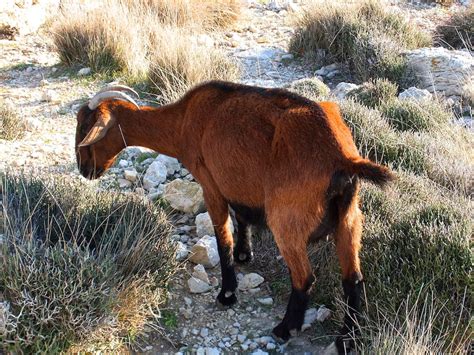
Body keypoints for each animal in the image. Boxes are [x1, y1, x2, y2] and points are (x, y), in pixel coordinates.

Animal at [74, 80, 392, 354]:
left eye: (86, 127)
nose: (84, 169)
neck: (183, 120)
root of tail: (342, 158)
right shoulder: (235, 184)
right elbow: (241, 217)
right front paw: (244, 254)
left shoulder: (210, 183)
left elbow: (221, 237)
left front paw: (227, 293)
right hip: (349, 220)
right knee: (353, 279)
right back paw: (346, 340)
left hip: (286, 219)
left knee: (304, 277)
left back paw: (285, 329)